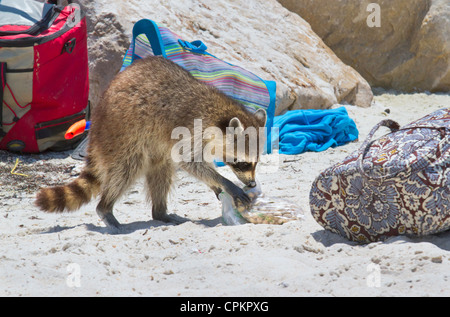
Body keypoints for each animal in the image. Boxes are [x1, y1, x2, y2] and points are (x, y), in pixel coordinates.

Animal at [37, 55, 268, 228]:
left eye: (255, 162)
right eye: (242, 163)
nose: (252, 183)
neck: (219, 115)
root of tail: (97, 123)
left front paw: (216, 183)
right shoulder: (192, 130)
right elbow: (189, 162)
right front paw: (225, 182)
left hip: (150, 146)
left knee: (161, 171)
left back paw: (160, 213)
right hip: (121, 133)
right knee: (125, 169)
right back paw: (105, 207)